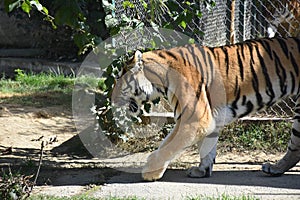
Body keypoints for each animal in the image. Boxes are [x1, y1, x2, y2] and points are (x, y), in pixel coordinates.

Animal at [112, 36, 300, 181]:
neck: (160, 80)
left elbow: (169, 146)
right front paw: (202, 170)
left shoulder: (196, 119)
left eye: (120, 79)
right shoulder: (204, 119)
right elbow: (203, 147)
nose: (111, 99)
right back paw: (275, 169)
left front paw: (150, 172)